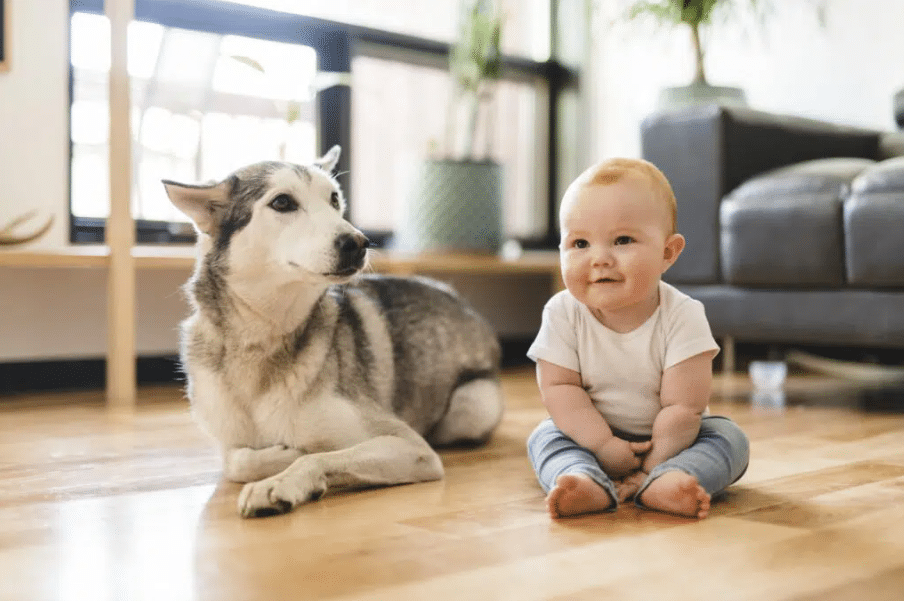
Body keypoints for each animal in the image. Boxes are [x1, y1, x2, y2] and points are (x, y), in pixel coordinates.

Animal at [162, 146, 502, 516]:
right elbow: (237, 461)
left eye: (334, 200)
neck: (264, 337)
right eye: (283, 203)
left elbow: (317, 457)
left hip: (473, 405)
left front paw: (282, 479)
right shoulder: (229, 442)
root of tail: (458, 297)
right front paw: (283, 455)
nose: (359, 242)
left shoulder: (412, 447)